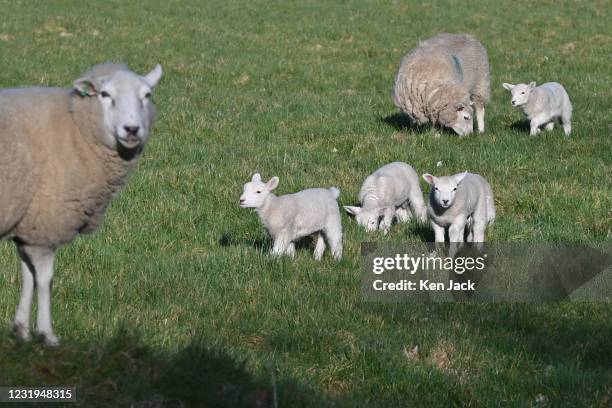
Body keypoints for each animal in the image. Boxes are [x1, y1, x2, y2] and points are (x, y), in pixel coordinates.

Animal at [0, 62, 163, 346]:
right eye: (105, 94)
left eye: (147, 95)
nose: (132, 129)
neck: (75, 127)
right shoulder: (46, 224)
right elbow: (45, 279)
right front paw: (47, 333)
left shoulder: (29, 226)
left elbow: (27, 275)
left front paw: (21, 329)